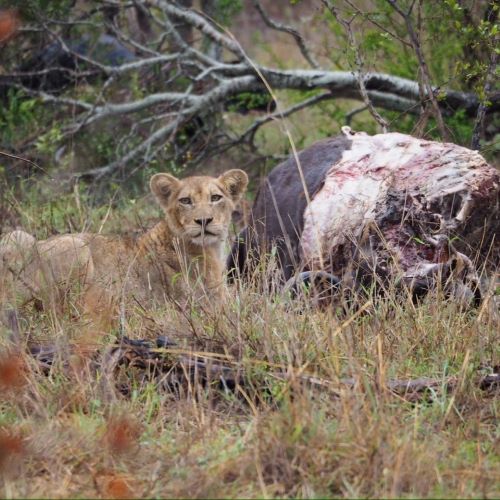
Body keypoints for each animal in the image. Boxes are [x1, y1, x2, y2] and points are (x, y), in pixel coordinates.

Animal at [0, 168, 248, 336]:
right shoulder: (200, 306)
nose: (204, 221)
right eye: (185, 201)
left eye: (215, 197)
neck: (209, 250)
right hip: (70, 249)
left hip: (17, 236)